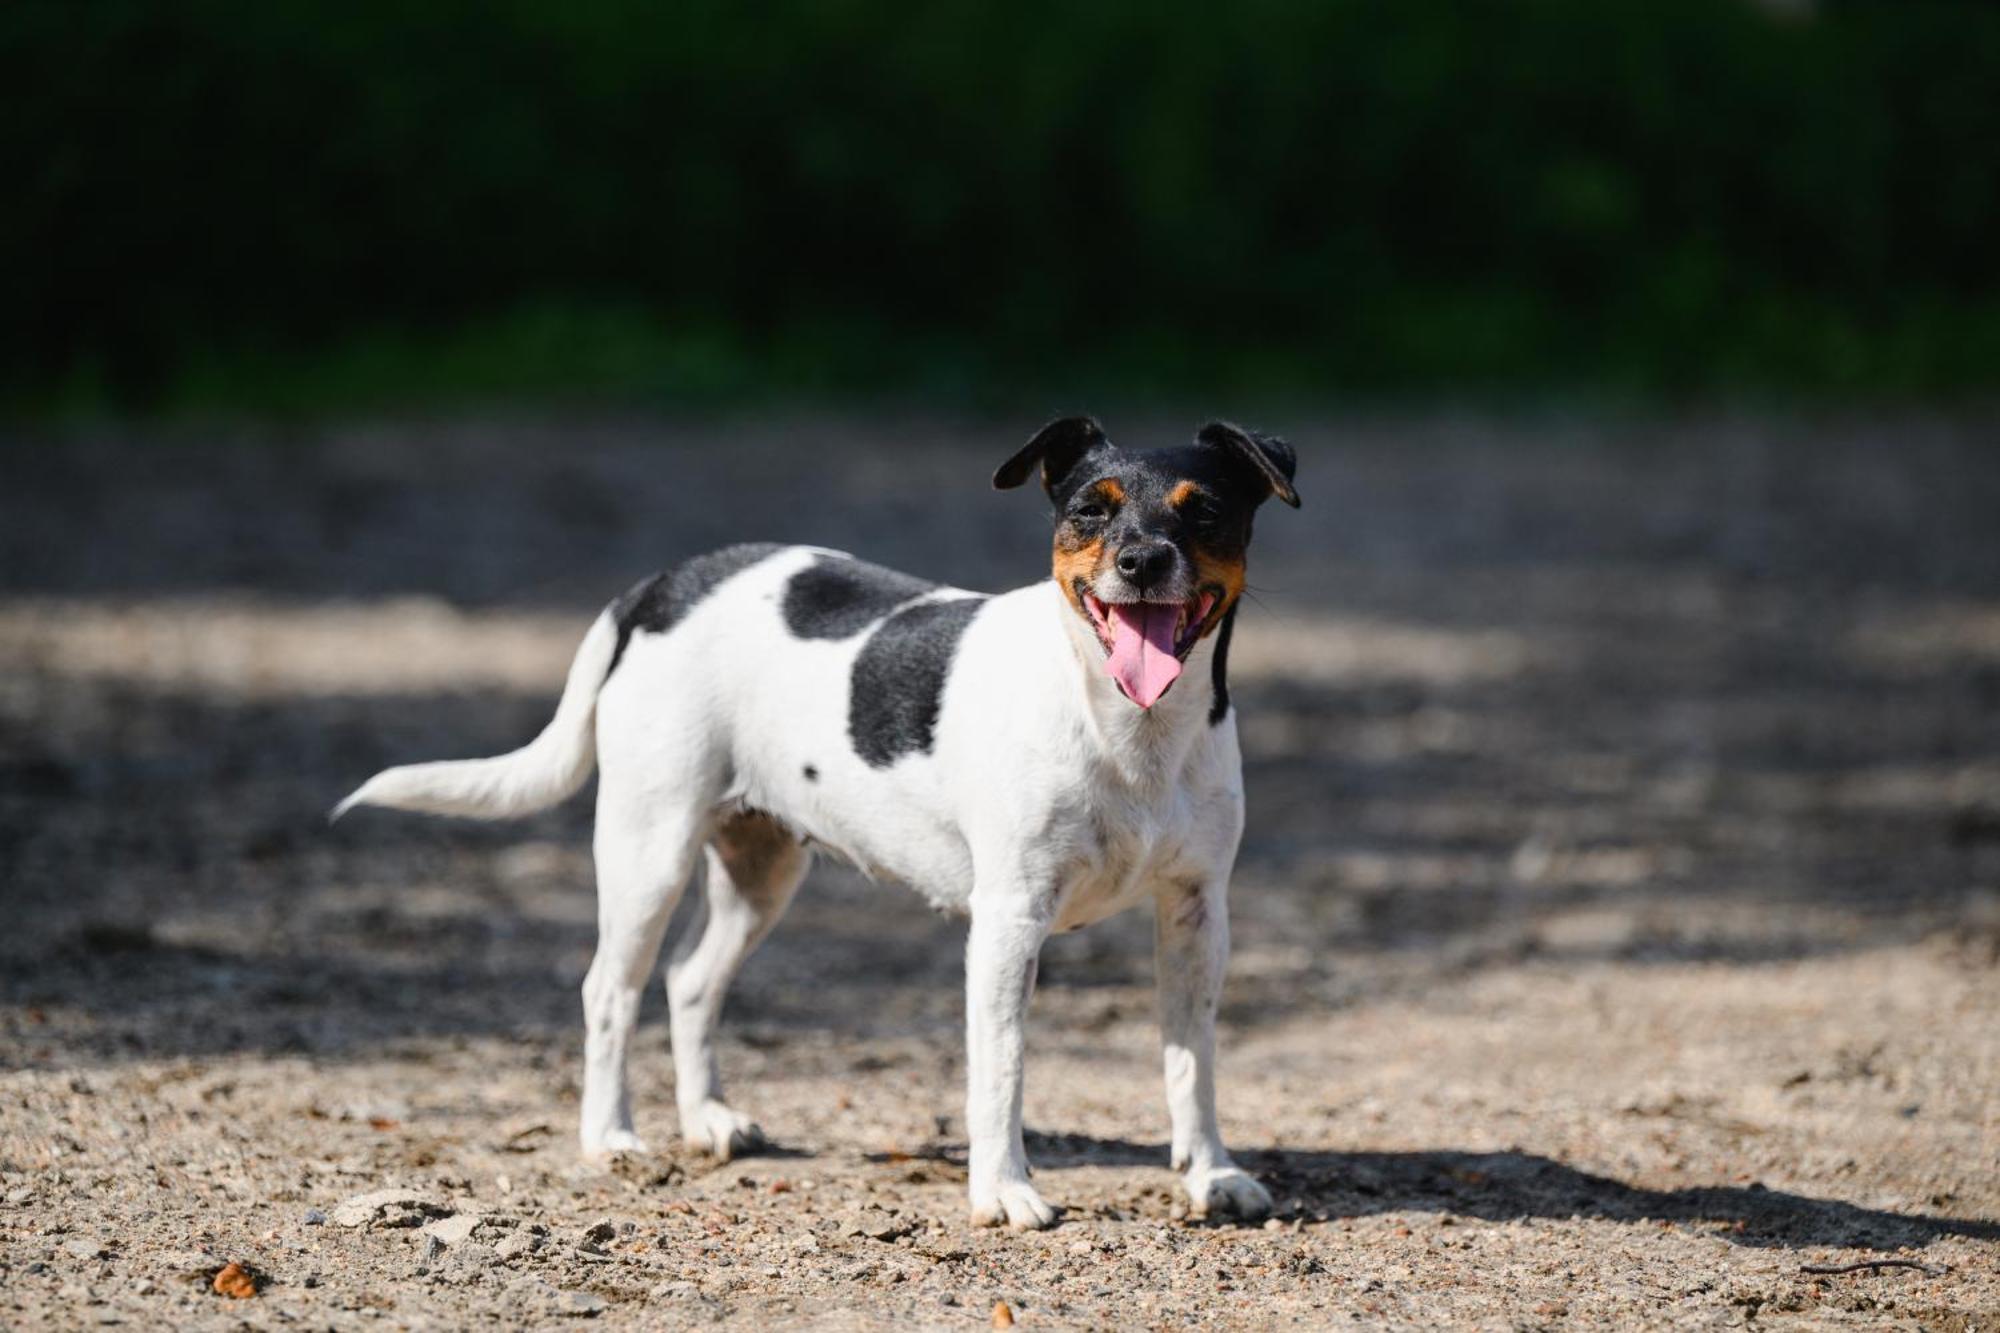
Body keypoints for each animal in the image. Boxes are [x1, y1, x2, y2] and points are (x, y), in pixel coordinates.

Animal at [336, 416, 1304, 1224]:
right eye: (1088, 511)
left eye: (1205, 510)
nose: (1141, 561)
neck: (1129, 726)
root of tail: (665, 582)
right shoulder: (1008, 922)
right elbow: (1001, 1069)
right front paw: (1004, 1190)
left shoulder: (1196, 915)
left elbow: (1192, 1060)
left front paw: (1211, 1173)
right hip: (650, 849)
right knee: (608, 989)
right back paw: (611, 1137)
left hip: (761, 869)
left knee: (690, 980)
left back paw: (710, 1119)